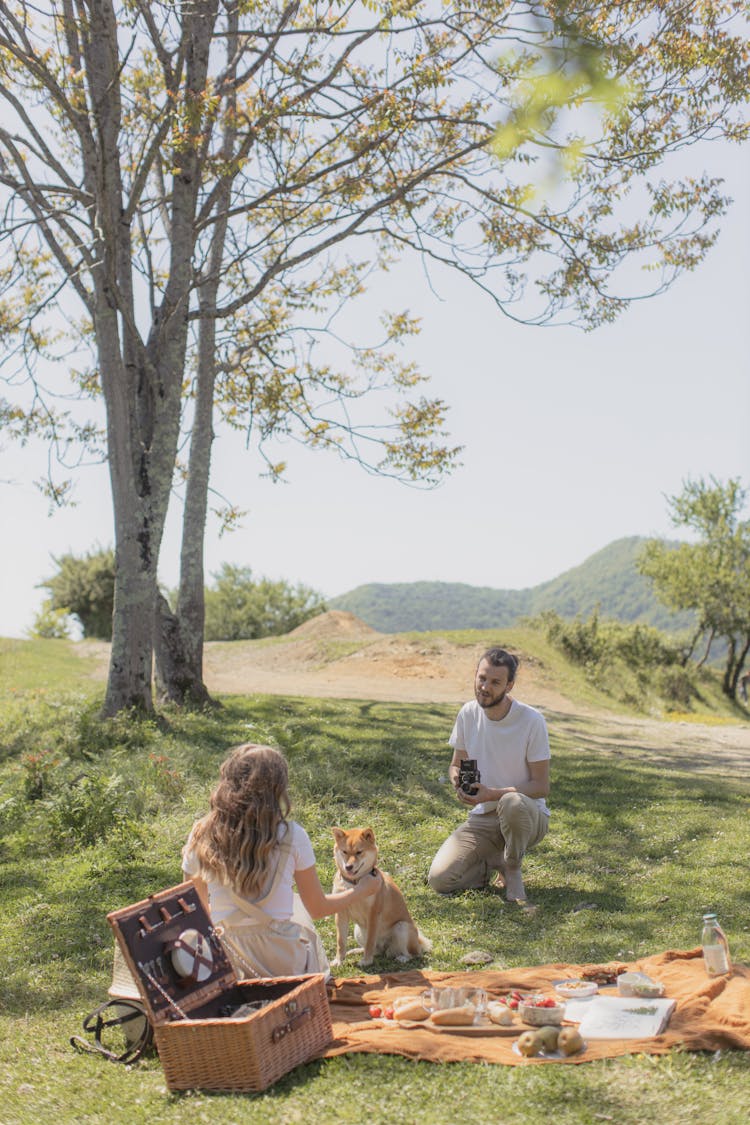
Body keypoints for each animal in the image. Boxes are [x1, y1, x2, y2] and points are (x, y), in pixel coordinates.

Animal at [330, 823, 431, 972]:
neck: (354, 884)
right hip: (358, 930)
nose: (348, 867)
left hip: (401, 927)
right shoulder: (341, 914)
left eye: (359, 852)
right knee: (376, 951)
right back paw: (356, 951)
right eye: (344, 852)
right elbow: (341, 942)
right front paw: (338, 961)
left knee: (413, 954)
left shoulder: (373, 914)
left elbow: (370, 942)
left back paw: (402, 958)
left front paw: (366, 961)